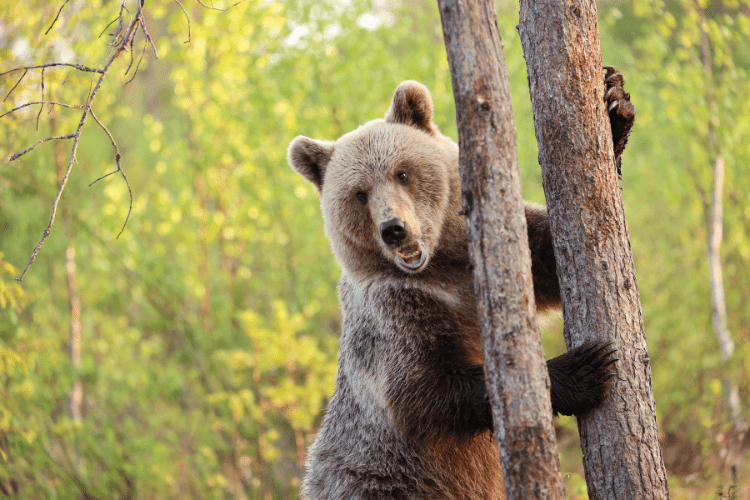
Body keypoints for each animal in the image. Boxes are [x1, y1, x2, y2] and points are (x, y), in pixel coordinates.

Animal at [287, 67, 634, 499]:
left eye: (402, 172)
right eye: (359, 193)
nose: (394, 229)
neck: (441, 266)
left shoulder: (501, 251)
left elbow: (553, 252)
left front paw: (614, 103)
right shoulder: (394, 310)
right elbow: (424, 388)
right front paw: (587, 366)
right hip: (378, 481)